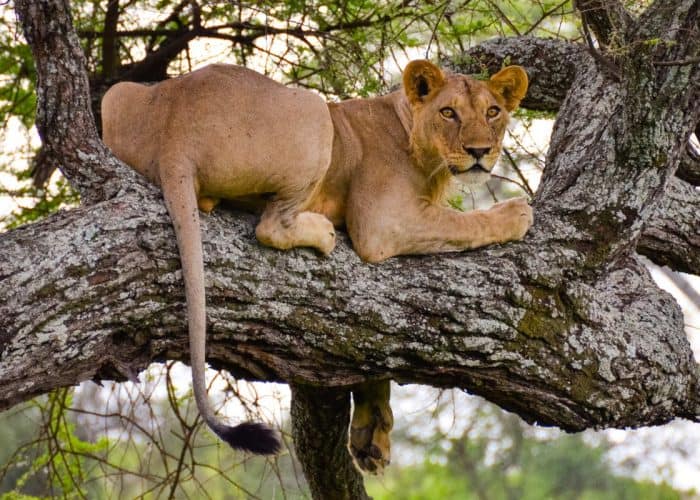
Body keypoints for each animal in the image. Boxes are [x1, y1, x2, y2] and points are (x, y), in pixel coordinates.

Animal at [101, 59, 531, 472]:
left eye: (493, 111)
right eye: (448, 112)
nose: (480, 151)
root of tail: (174, 132)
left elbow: (375, 353)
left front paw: (371, 435)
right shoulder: (382, 224)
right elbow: (462, 222)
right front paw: (516, 213)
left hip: (115, 95)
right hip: (315, 112)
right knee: (271, 224)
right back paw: (323, 232)